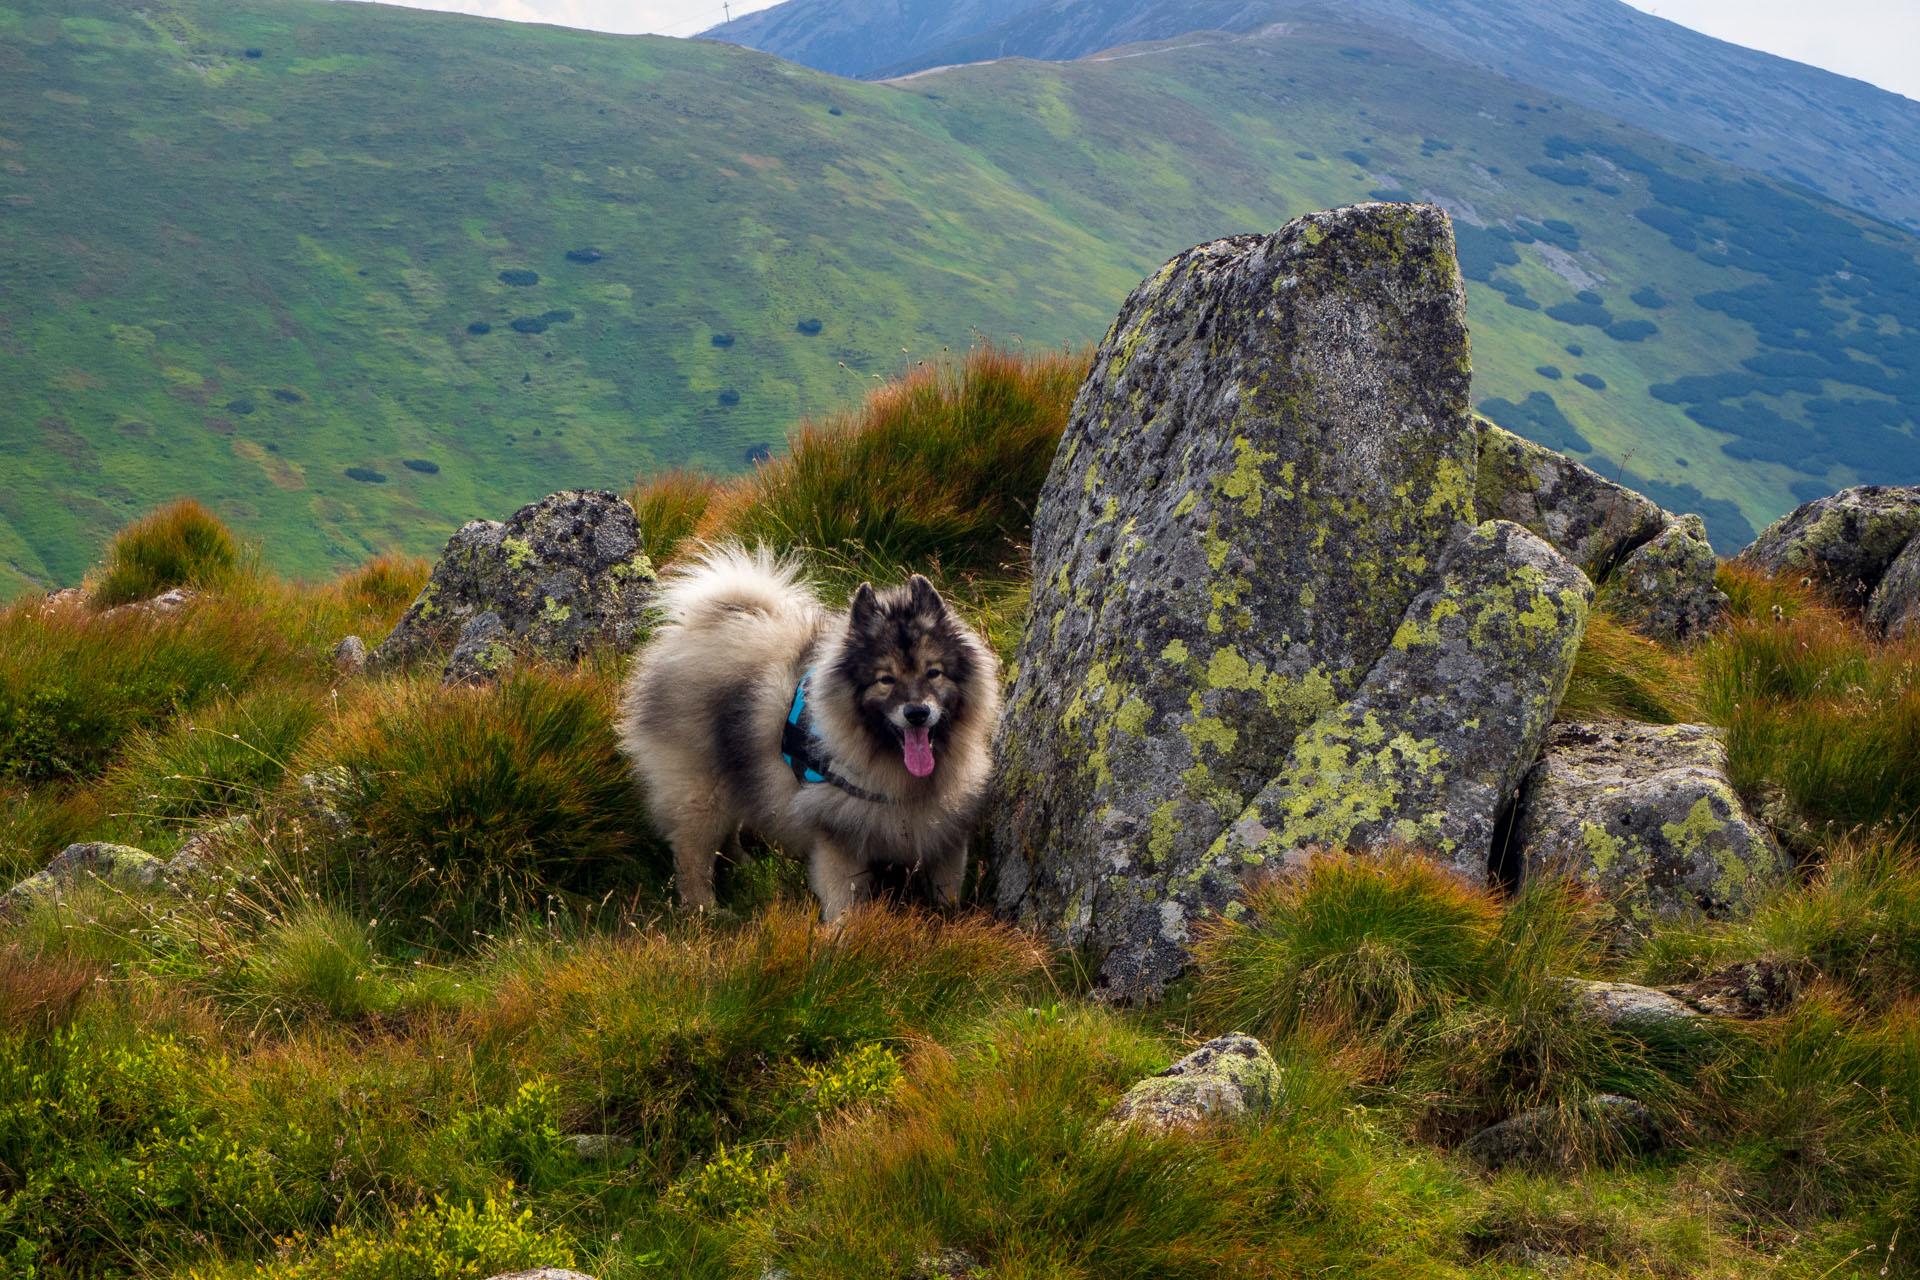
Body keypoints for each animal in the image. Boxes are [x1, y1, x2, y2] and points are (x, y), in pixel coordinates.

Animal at [614, 545, 1006, 924]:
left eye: (933, 672)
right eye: (885, 679)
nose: (917, 713)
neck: (897, 772)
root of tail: (700, 627)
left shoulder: (945, 835)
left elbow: (947, 891)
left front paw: (951, 922)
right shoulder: (839, 838)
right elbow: (843, 903)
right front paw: (842, 938)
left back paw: (744, 865)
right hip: (700, 788)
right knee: (692, 853)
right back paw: (704, 909)